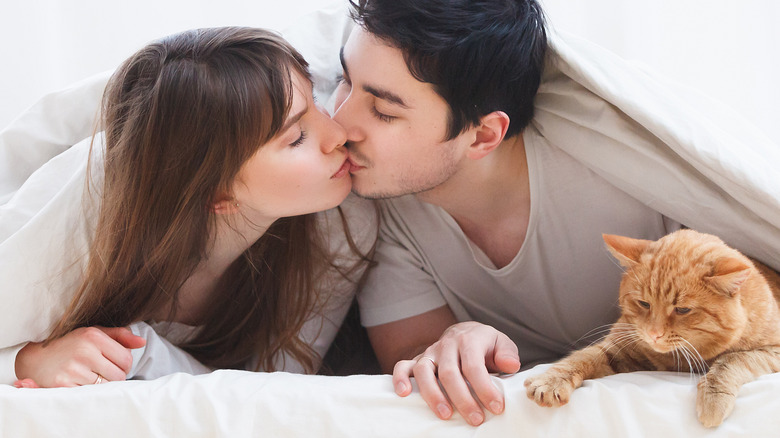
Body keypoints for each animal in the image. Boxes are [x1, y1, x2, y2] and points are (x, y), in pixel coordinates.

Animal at [520, 229, 780, 428]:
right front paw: (551, 380)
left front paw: (713, 400)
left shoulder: (772, 352)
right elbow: (581, 358)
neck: (676, 359)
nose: (654, 335)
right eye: (644, 303)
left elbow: (732, 360)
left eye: (682, 309)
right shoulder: (619, 348)